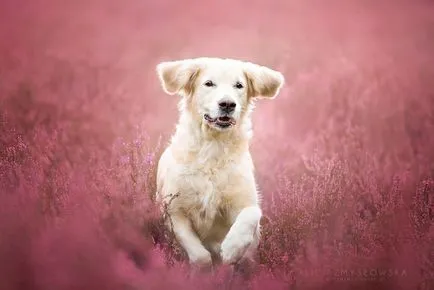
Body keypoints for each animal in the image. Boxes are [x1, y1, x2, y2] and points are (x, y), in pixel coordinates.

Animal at [154, 57, 284, 270]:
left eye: (239, 85)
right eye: (209, 83)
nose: (227, 104)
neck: (214, 147)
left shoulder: (245, 201)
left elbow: (252, 213)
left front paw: (232, 249)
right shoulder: (173, 210)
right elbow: (199, 255)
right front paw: (205, 268)